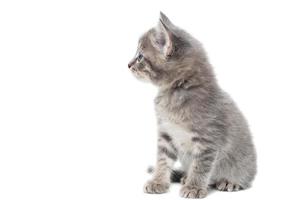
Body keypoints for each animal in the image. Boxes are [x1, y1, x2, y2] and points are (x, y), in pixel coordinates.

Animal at [127, 12, 256, 198]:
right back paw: (185, 177)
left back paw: (229, 181)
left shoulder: (208, 139)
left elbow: (200, 166)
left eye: (140, 57)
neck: (176, 92)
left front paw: (194, 187)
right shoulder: (166, 133)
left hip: (244, 166)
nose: (128, 64)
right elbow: (162, 160)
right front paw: (158, 181)